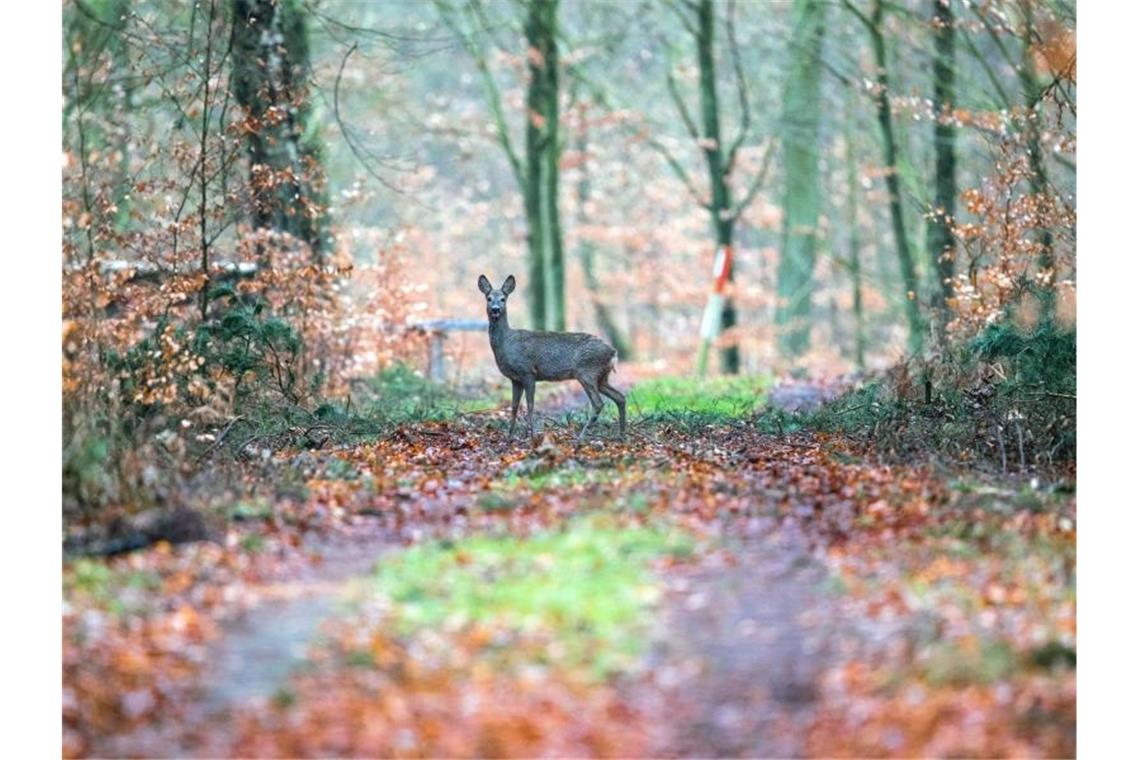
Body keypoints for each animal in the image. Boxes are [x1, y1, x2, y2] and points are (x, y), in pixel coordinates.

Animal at [476, 274, 629, 442]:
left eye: (503, 299)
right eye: (489, 298)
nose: (495, 309)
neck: (506, 344)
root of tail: (613, 352)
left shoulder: (527, 371)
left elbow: (530, 405)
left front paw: (531, 436)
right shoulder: (515, 379)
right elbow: (514, 407)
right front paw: (510, 437)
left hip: (587, 372)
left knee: (598, 403)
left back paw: (580, 438)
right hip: (601, 377)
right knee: (620, 397)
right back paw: (621, 435)